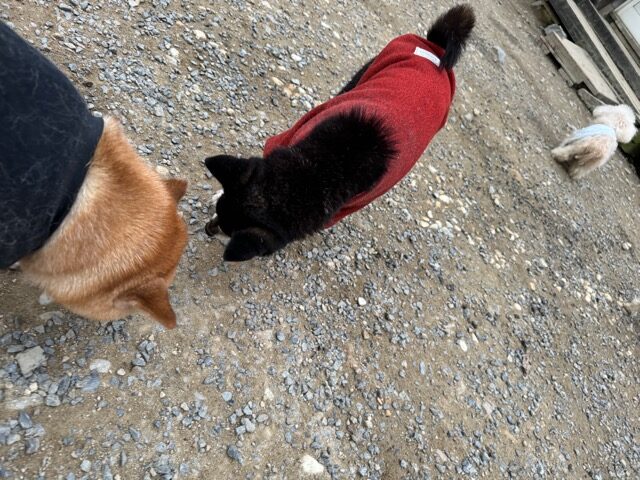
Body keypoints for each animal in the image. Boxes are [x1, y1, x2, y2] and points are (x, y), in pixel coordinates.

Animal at [204, 5, 475, 261]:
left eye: (228, 231)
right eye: (219, 210)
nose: (208, 229)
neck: (320, 168)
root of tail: (436, 48)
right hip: (371, 67)